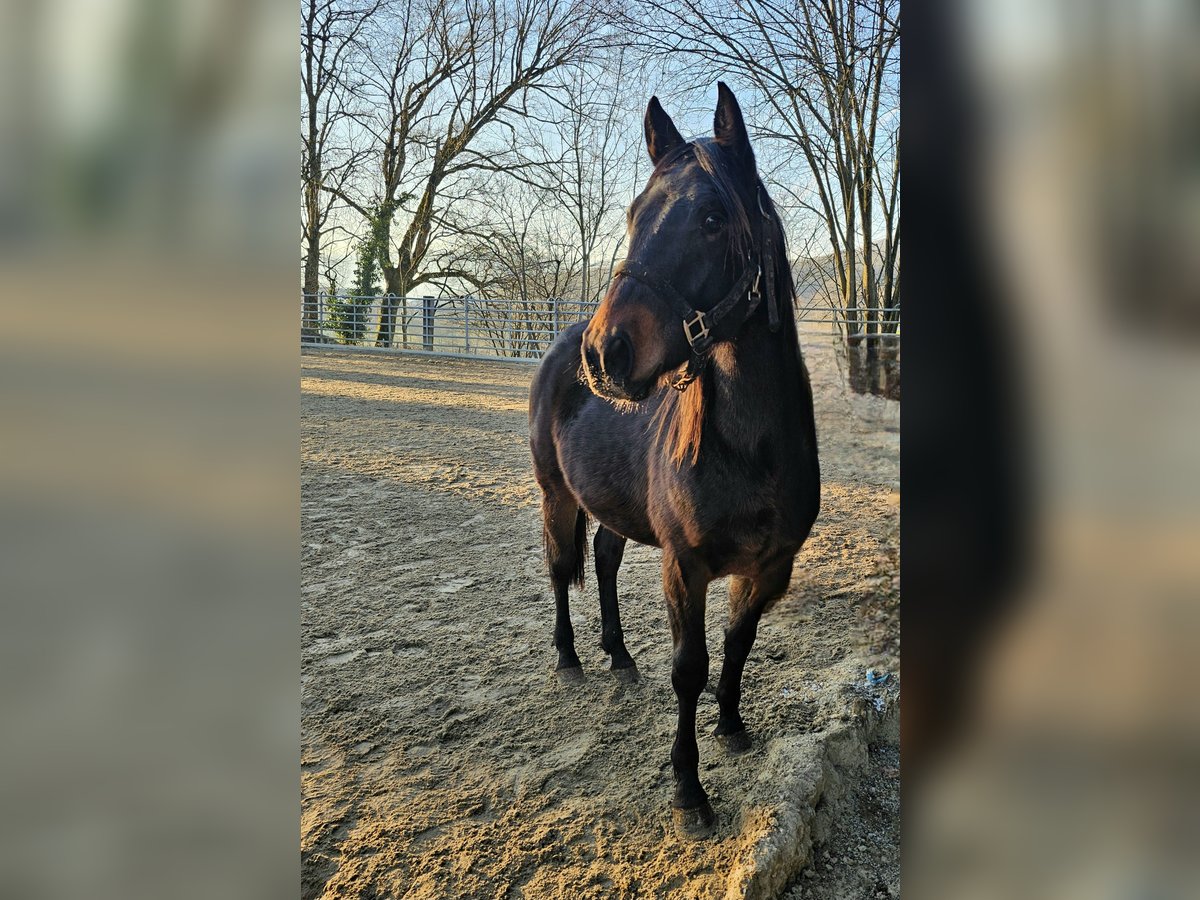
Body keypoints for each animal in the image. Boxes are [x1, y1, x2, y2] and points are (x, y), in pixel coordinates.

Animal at [530, 82, 820, 840]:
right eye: (635, 214)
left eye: (714, 218)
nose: (606, 352)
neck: (749, 452)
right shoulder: (683, 565)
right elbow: (690, 667)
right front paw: (689, 791)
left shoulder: (770, 568)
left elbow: (738, 645)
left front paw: (733, 727)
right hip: (555, 496)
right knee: (559, 567)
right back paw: (570, 660)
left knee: (602, 559)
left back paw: (619, 657)